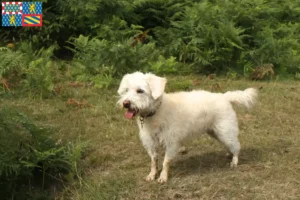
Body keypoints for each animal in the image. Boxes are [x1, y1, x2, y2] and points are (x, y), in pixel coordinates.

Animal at [117, 72, 258, 183]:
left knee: (236, 145)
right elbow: (153, 161)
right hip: (216, 132)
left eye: (140, 91)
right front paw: (152, 175)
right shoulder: (150, 142)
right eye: (126, 90)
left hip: (225, 131)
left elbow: (165, 162)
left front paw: (163, 177)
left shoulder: (171, 142)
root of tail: (224, 96)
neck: (156, 111)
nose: (126, 103)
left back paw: (234, 161)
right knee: (230, 144)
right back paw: (229, 154)